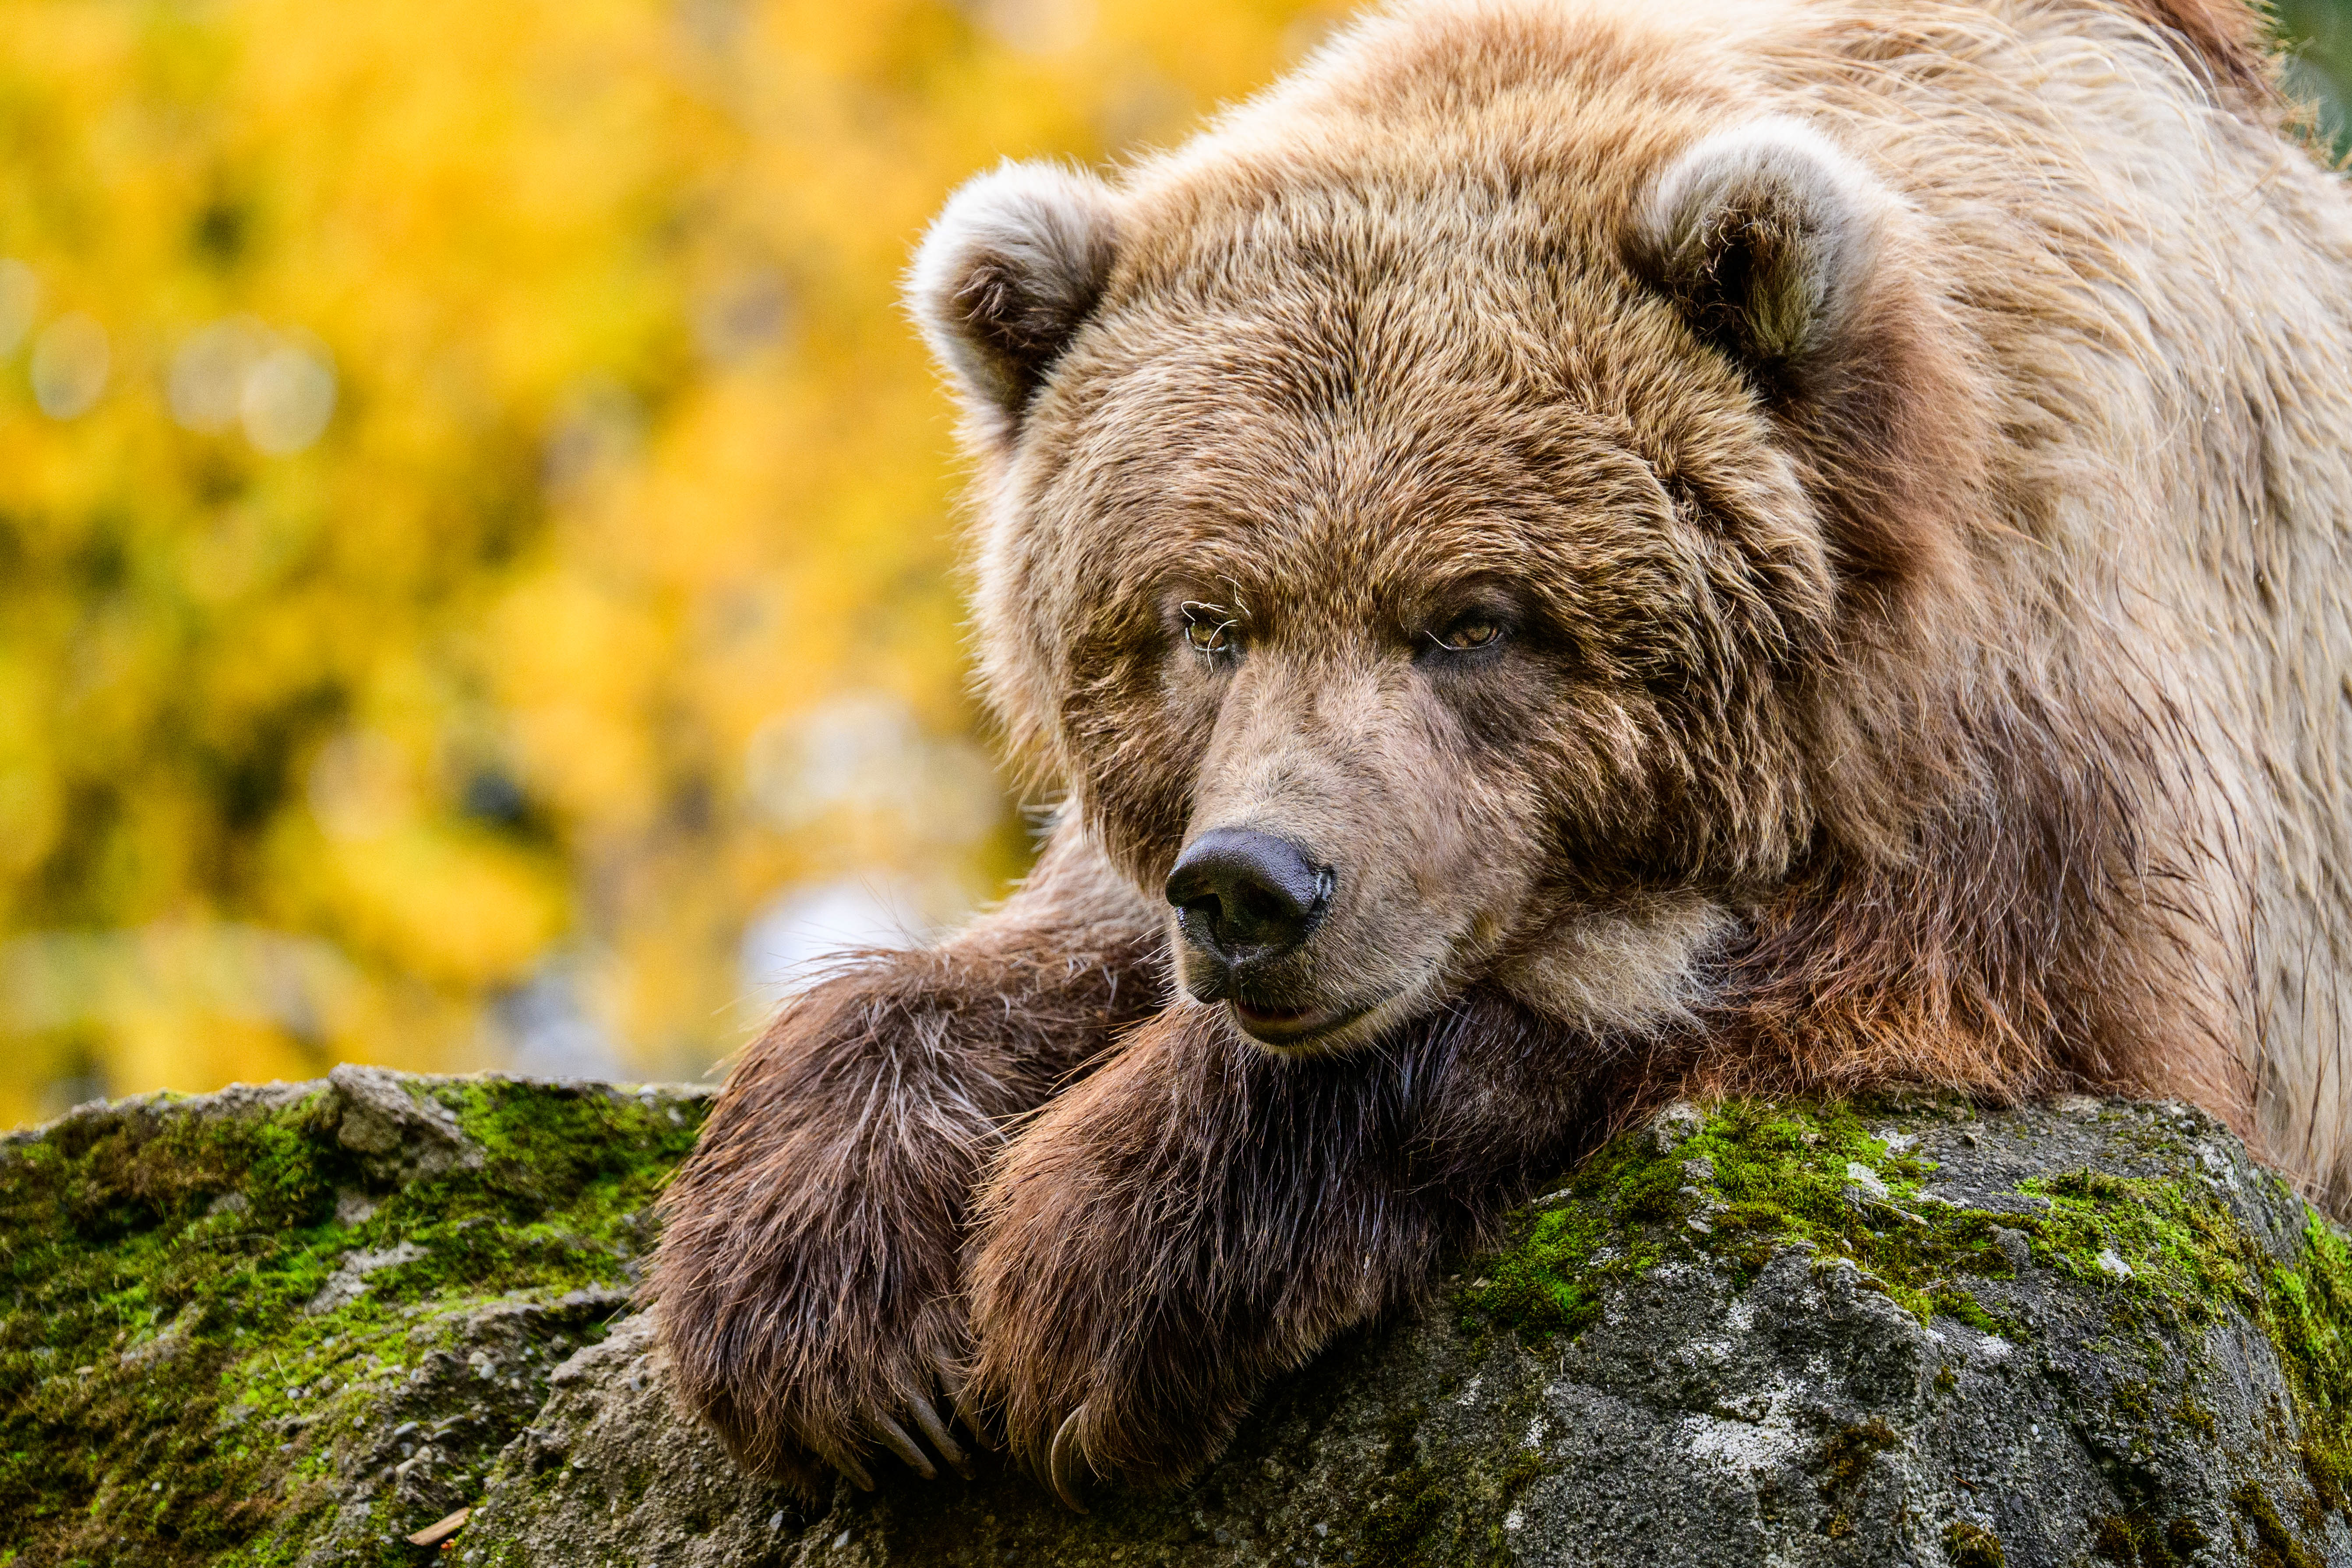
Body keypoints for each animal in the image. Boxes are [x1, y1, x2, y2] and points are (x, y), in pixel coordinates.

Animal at [651, 0, 2352, 1507]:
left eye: (1471, 617)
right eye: (1205, 618)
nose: (1258, 887)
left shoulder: (2103, 754)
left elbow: (1813, 971)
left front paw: (1099, 1255)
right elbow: (1033, 955)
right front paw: (820, 1294)